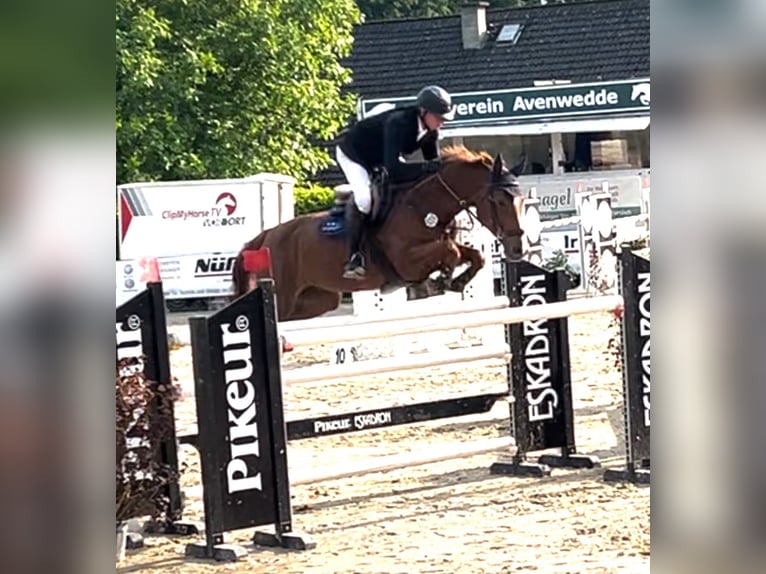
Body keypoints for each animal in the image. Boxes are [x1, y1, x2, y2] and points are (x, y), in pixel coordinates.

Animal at [231, 146, 524, 322]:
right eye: (499, 201)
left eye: (521, 200)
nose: (517, 250)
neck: (423, 206)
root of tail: (266, 236)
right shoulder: (406, 261)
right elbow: (449, 252)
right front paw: (440, 281)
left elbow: (475, 256)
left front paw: (457, 282)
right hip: (284, 292)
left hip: (319, 298)